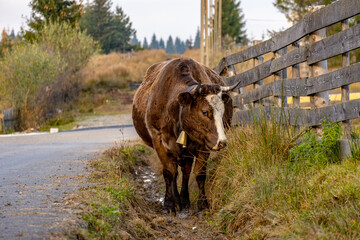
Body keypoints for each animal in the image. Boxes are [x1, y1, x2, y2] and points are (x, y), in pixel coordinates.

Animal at [132, 57, 236, 214]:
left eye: (222, 110)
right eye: (205, 112)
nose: (222, 142)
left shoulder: (203, 143)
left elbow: (199, 174)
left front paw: (203, 206)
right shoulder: (158, 140)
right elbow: (169, 173)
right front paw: (168, 205)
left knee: (185, 172)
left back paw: (184, 201)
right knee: (175, 173)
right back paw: (176, 200)